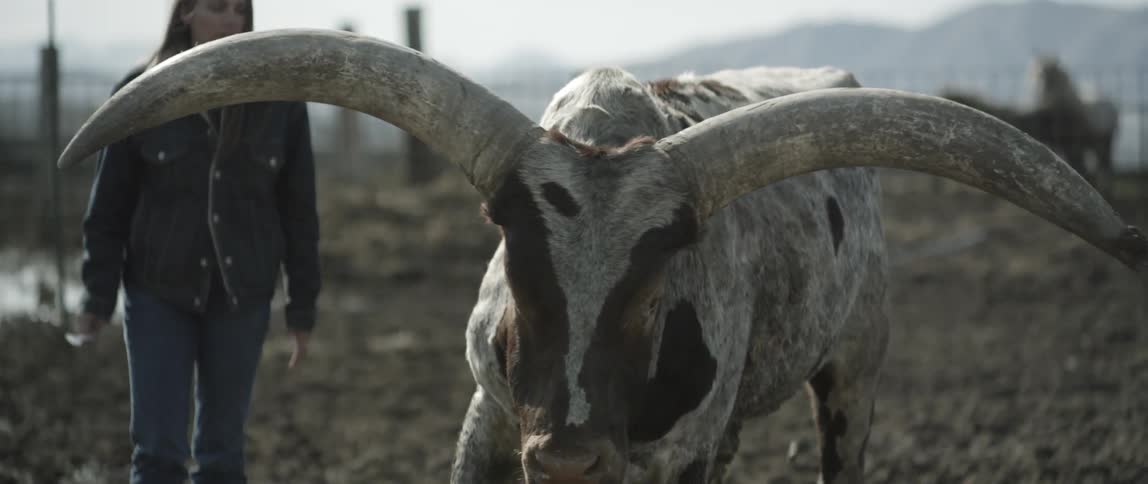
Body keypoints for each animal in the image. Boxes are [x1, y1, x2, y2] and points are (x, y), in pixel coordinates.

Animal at [57, 30, 1148, 484]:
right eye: (515, 265)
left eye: (653, 293)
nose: (572, 454)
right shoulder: (491, 420)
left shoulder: (669, 454)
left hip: (853, 374)